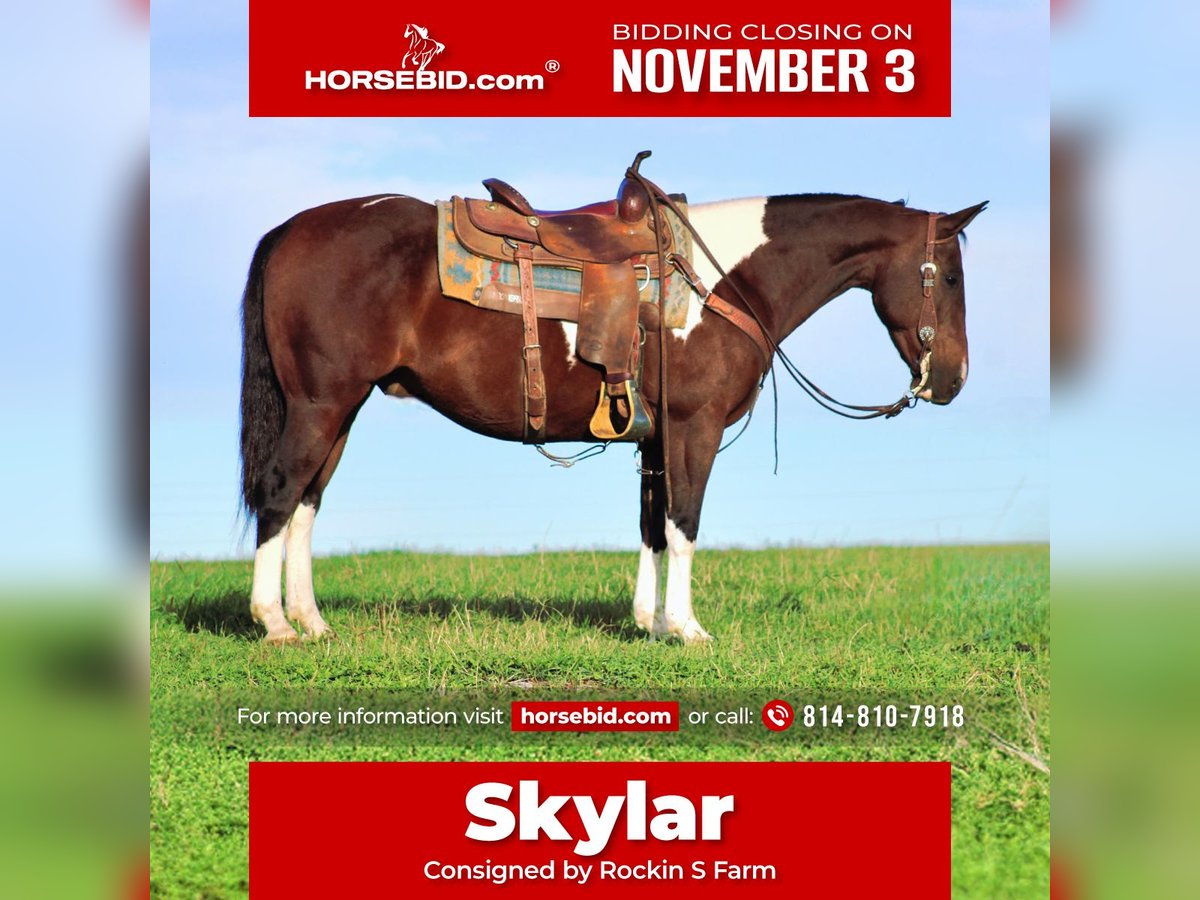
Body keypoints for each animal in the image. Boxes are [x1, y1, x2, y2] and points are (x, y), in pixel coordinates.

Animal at [238, 178, 986, 645]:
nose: (952, 381)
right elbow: (684, 525)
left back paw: (313, 622)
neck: (723, 282)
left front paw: (648, 623)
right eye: (950, 277)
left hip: (340, 410)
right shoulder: (692, 428)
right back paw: (275, 624)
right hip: (320, 404)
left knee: (307, 502)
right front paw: (687, 628)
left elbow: (652, 527)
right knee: (279, 491)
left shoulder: (652, 440)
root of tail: (290, 229)